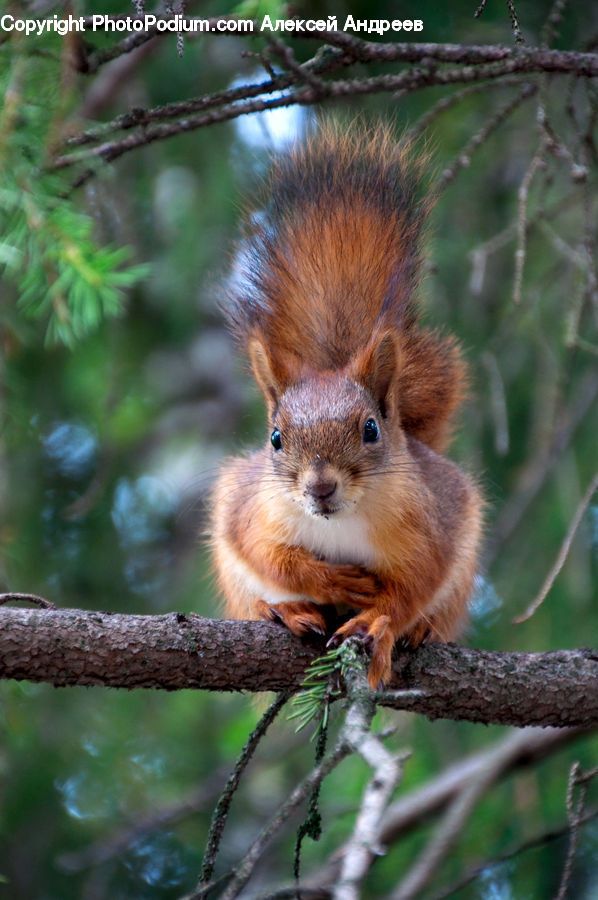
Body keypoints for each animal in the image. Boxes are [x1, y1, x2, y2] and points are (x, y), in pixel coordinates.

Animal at [211, 123, 482, 688]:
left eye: (371, 429)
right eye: (275, 438)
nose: (320, 487)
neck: (342, 522)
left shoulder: (430, 530)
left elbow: (412, 587)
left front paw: (378, 622)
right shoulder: (251, 512)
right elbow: (269, 554)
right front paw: (327, 580)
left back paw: (419, 630)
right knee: (255, 594)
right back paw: (287, 611)